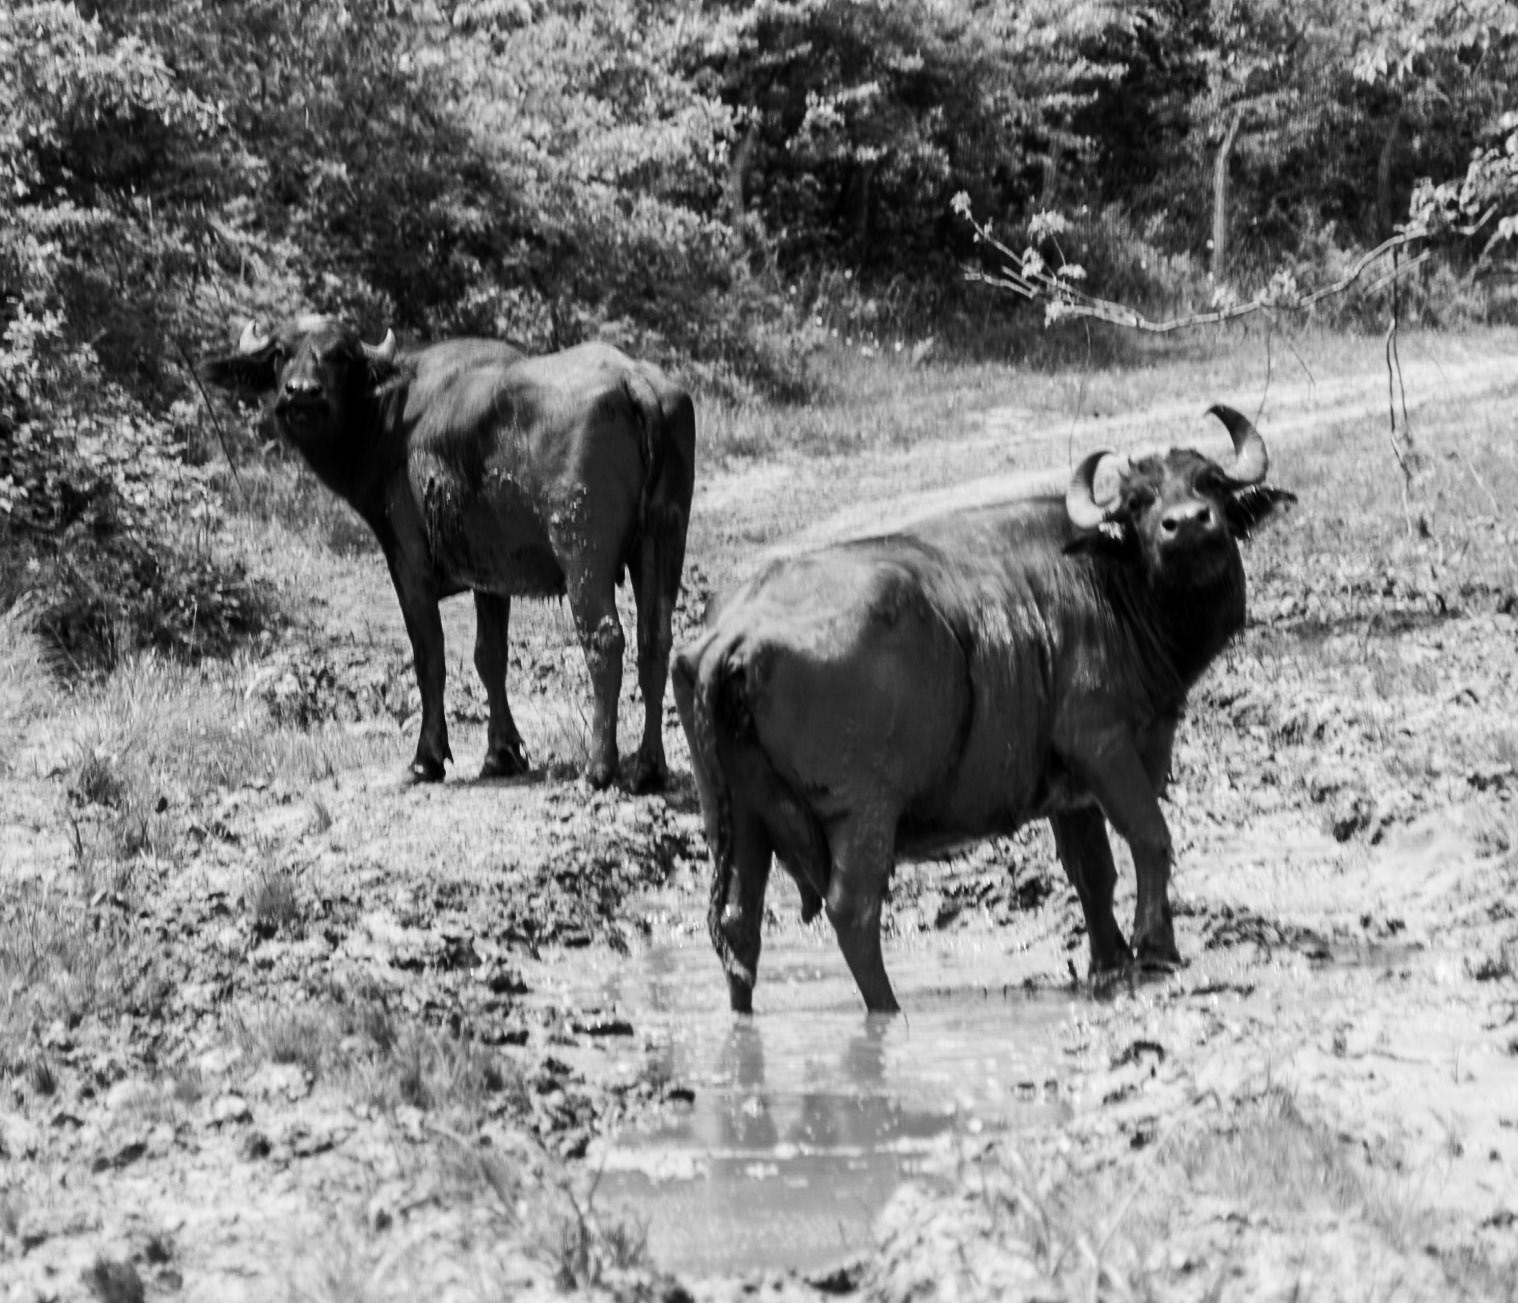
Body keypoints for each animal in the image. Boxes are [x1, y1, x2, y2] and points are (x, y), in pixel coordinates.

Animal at [204, 316, 695, 789]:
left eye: (340, 356)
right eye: (280, 353)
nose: (301, 392)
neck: (389, 421)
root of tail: (632, 378)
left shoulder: (408, 562)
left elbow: (430, 658)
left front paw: (428, 758)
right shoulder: (491, 573)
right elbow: (489, 657)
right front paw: (502, 753)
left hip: (582, 549)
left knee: (605, 639)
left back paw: (598, 768)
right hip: (665, 537)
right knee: (655, 640)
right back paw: (649, 767)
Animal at [674, 406, 1292, 1013]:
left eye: (1211, 483)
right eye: (1138, 502)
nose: (1188, 523)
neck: (1111, 584)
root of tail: (736, 632)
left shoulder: (1069, 791)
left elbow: (1093, 873)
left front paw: (1110, 960)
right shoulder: (1104, 744)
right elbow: (1150, 837)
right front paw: (1156, 947)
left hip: (737, 817)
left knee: (737, 924)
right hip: (862, 810)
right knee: (853, 910)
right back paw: (888, 1008)